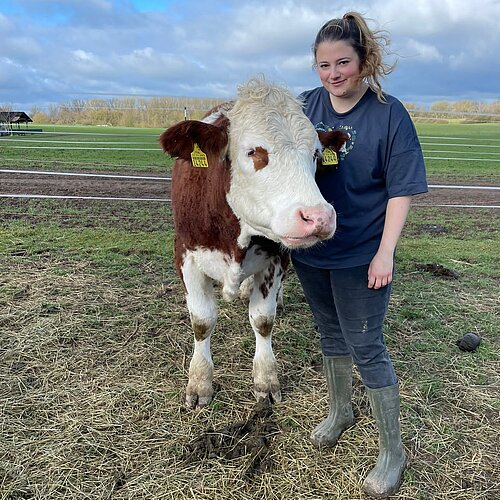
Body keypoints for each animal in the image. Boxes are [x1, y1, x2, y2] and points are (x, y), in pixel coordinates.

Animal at [161, 77, 348, 406]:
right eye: (252, 152)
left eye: (315, 154)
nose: (319, 217)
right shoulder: (185, 254)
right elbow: (202, 321)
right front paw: (200, 383)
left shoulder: (275, 259)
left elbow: (262, 320)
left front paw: (265, 379)